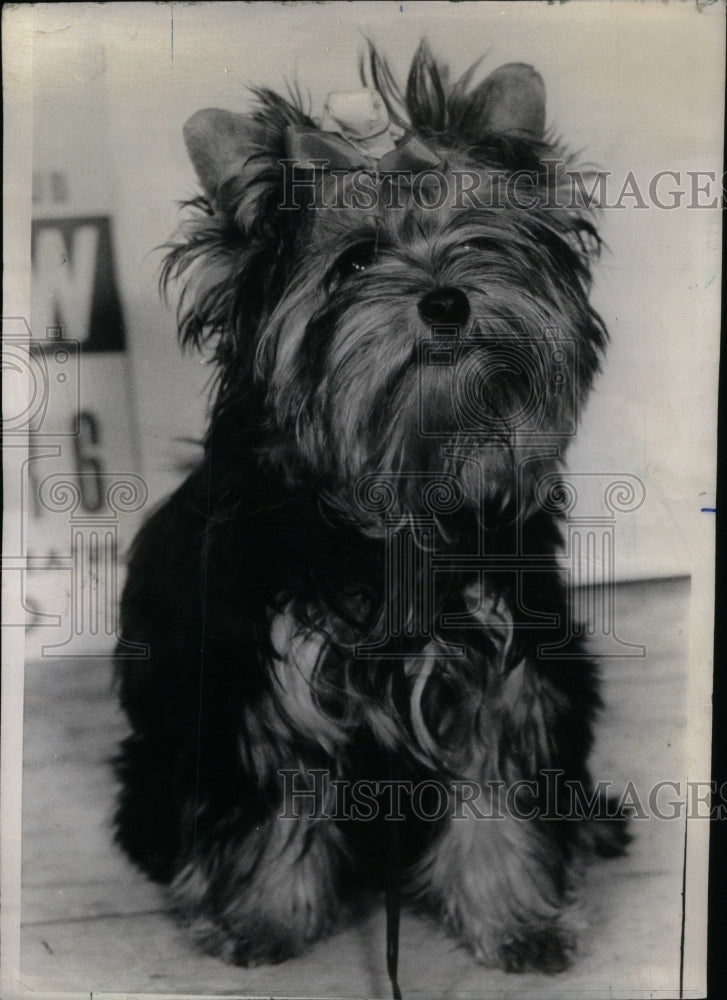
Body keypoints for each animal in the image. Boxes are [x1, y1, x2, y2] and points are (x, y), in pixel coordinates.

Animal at [112, 43, 624, 980]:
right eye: (352, 262)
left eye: (477, 235)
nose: (447, 300)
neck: (397, 497)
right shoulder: (269, 673)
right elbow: (278, 794)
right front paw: (261, 918)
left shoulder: (495, 663)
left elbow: (496, 792)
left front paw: (512, 918)